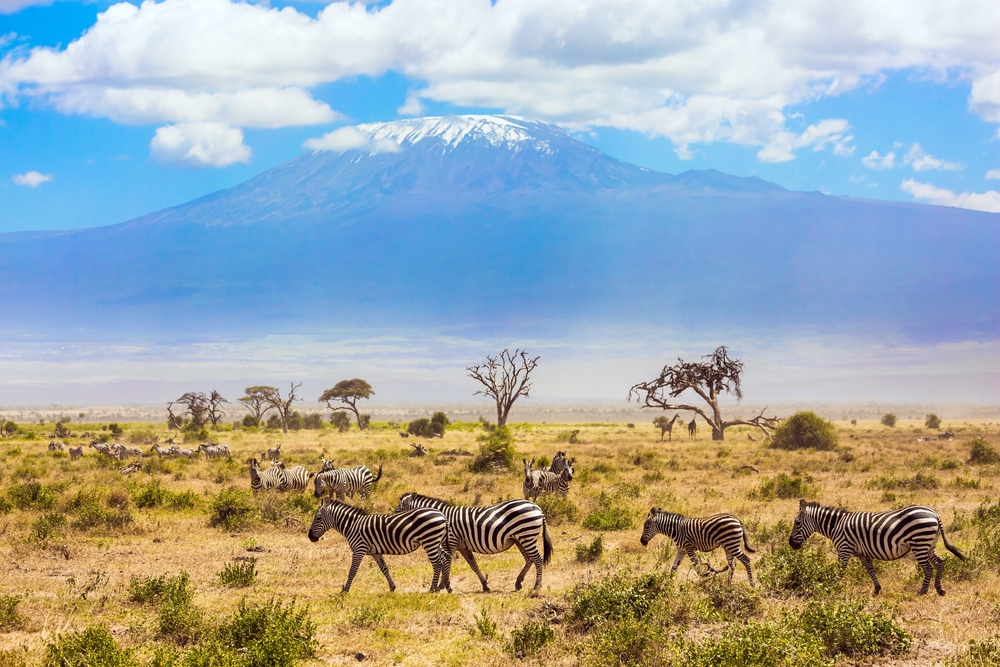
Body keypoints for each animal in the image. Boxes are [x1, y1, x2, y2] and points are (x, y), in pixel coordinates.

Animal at [304, 498, 450, 592]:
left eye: (318, 518)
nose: (310, 537)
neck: (352, 525)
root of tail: (442, 514)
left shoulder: (359, 549)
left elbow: (352, 570)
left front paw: (345, 590)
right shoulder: (375, 552)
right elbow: (384, 569)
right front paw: (392, 587)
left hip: (429, 541)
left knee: (437, 563)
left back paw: (432, 589)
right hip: (436, 542)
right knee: (445, 559)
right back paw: (445, 587)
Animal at [394, 490, 556, 588]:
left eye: (397, 511)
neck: (441, 517)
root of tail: (537, 507)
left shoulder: (450, 542)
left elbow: (447, 563)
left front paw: (442, 586)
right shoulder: (463, 547)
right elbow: (474, 565)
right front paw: (485, 585)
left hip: (526, 536)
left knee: (537, 559)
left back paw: (536, 586)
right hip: (520, 539)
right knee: (529, 559)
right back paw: (518, 583)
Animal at [784, 500, 964, 596]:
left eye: (797, 523)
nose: (791, 544)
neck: (836, 526)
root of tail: (934, 514)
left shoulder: (844, 549)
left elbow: (840, 570)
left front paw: (832, 586)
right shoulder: (862, 553)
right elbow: (870, 569)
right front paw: (877, 589)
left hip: (919, 543)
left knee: (928, 568)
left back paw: (923, 591)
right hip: (929, 544)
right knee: (940, 562)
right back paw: (939, 589)